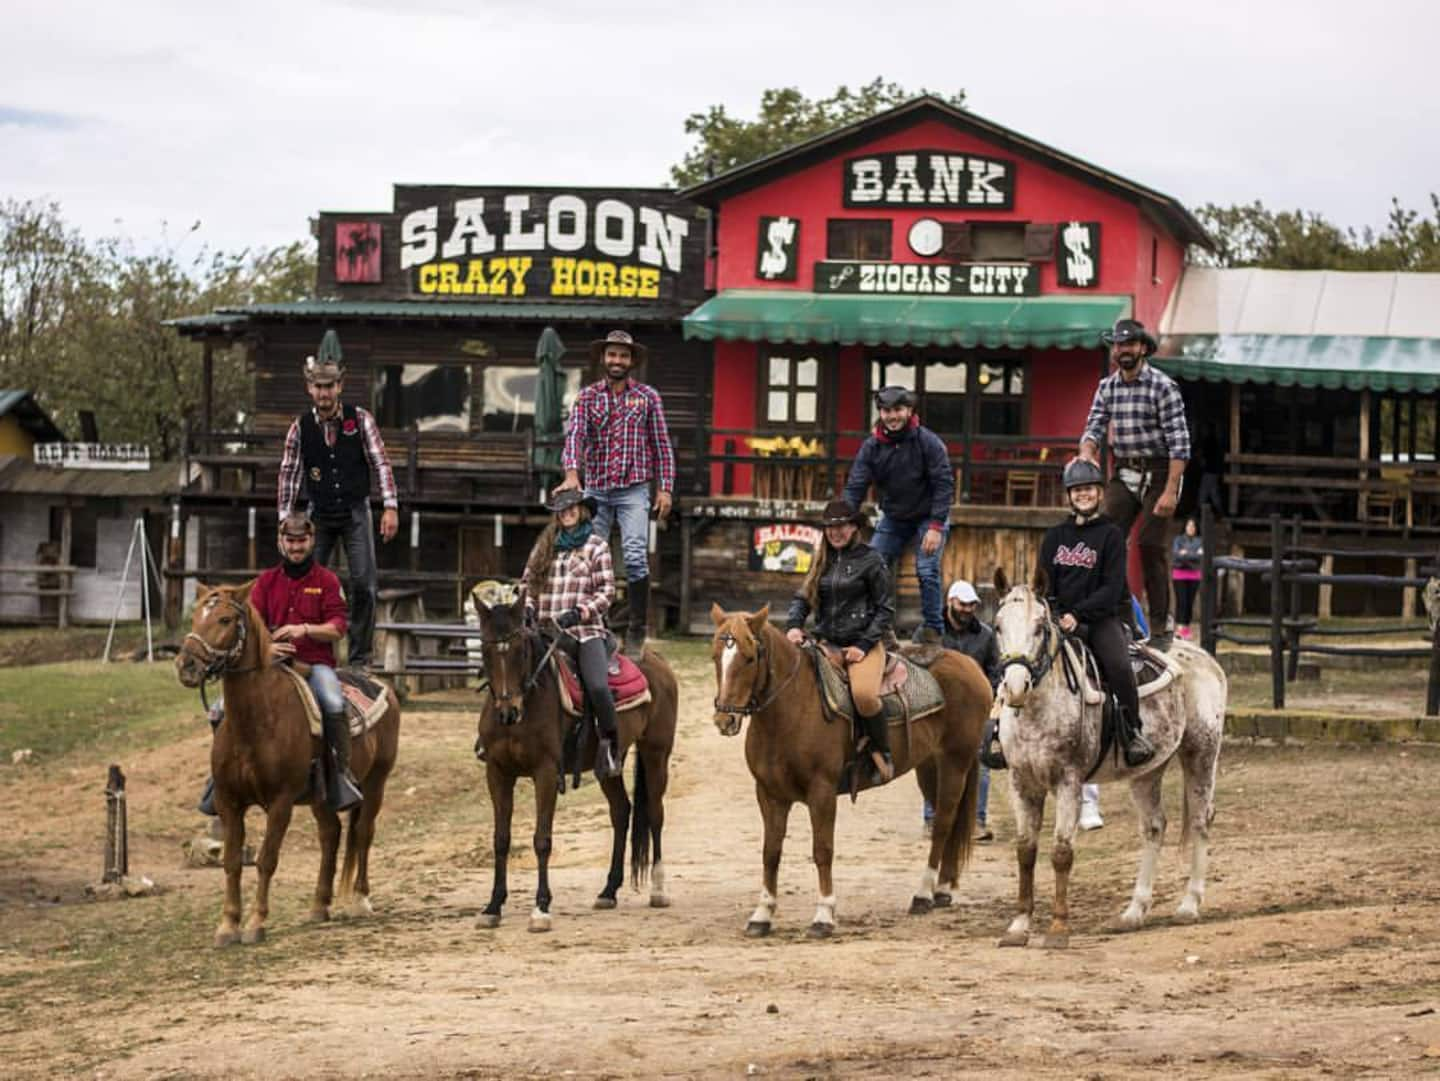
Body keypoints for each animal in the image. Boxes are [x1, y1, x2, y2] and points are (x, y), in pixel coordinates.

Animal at [174, 584, 400, 944]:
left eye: (224, 619)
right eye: (196, 615)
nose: (187, 665)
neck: (255, 723)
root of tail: (382, 685)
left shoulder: (280, 802)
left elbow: (266, 859)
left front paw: (255, 923)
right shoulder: (228, 801)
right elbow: (232, 862)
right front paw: (228, 925)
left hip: (376, 781)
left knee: (363, 831)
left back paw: (360, 899)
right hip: (323, 796)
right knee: (331, 833)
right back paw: (319, 906)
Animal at [469, 593, 676, 932]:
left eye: (520, 650)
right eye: (485, 650)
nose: (508, 712)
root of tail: (657, 660)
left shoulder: (546, 772)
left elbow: (542, 839)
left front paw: (541, 907)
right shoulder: (497, 772)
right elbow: (501, 839)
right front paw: (493, 906)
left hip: (656, 753)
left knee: (655, 815)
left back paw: (658, 890)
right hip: (609, 765)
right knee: (621, 811)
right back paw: (608, 890)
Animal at [708, 604, 990, 932]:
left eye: (750, 657)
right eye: (715, 656)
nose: (725, 719)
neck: (792, 708)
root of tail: (970, 665)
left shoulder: (822, 792)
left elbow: (822, 850)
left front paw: (824, 915)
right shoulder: (769, 795)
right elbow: (771, 852)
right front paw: (762, 914)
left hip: (955, 761)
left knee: (944, 822)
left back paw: (923, 894)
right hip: (930, 767)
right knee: (950, 821)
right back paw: (942, 889)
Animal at [990, 570, 1226, 950]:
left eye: (1040, 627)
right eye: (998, 626)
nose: (1015, 686)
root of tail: (1205, 658)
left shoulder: (1068, 781)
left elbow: (1061, 852)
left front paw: (1058, 928)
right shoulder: (1022, 783)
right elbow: (1025, 851)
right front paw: (1018, 926)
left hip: (1201, 752)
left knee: (1201, 820)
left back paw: (1189, 905)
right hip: (1147, 771)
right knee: (1154, 827)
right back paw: (1133, 912)